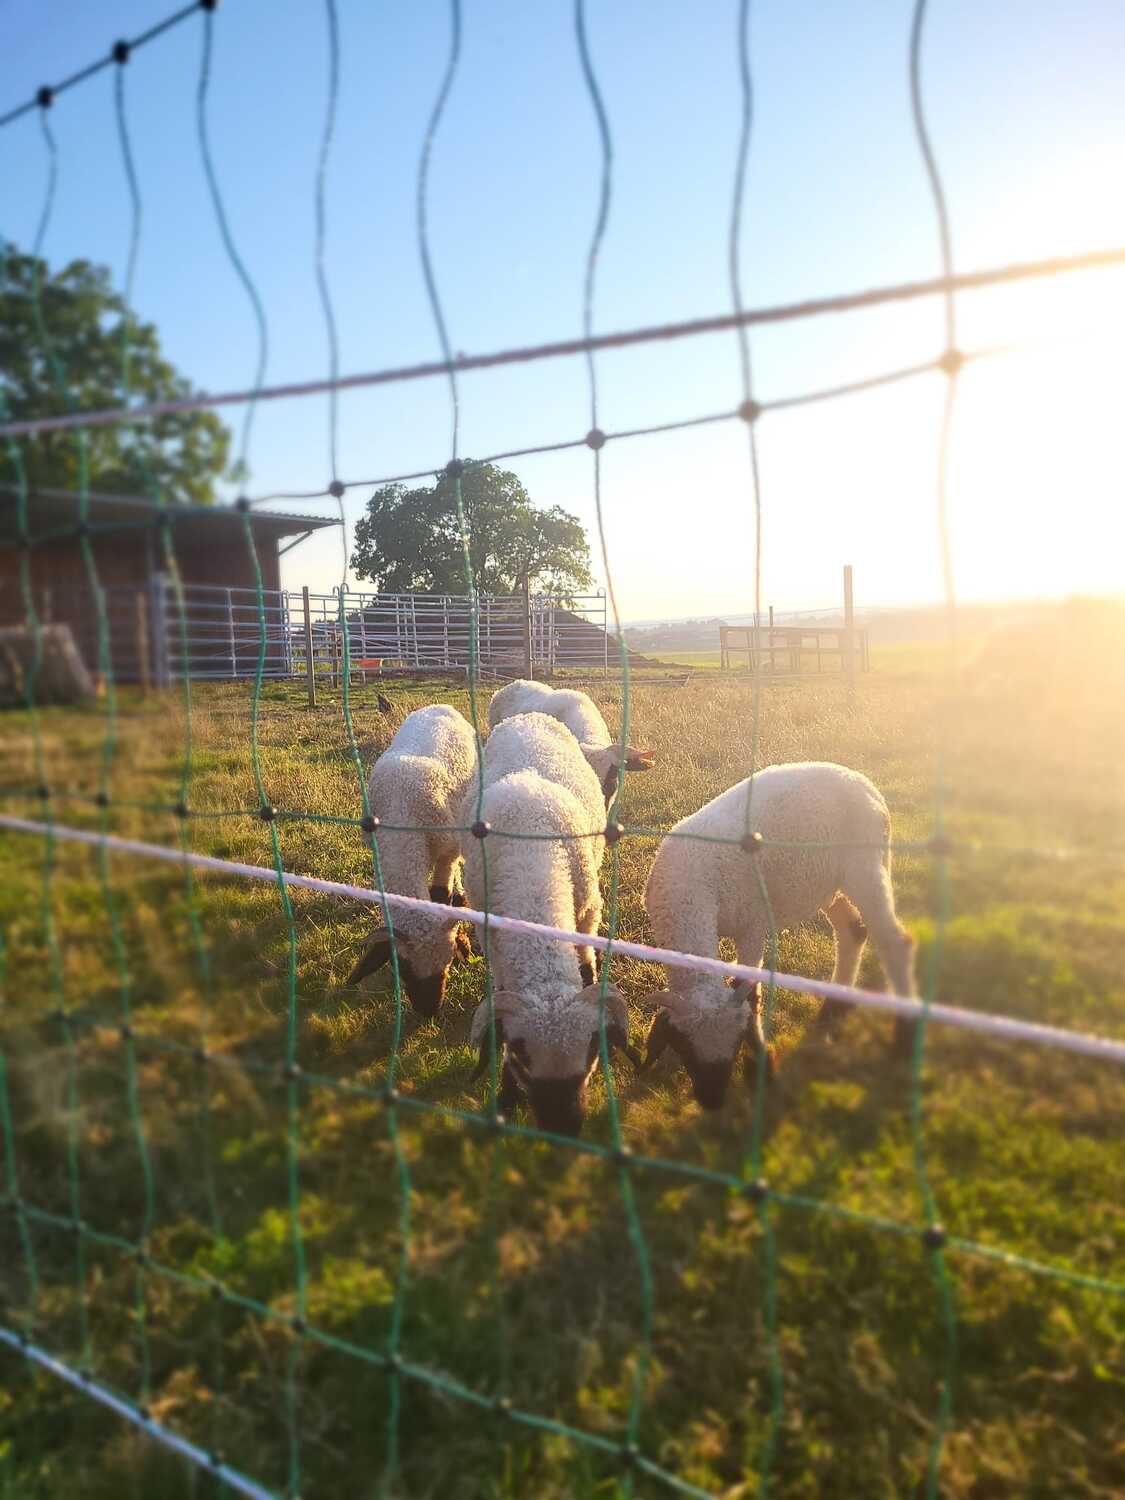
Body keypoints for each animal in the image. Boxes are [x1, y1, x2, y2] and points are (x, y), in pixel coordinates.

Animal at [348, 702, 480, 1020]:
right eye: (402, 969)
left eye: (448, 963)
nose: (428, 1012)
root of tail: (441, 705)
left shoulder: (445, 851)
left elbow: (440, 893)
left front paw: (454, 901)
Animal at [462, 714, 639, 1134]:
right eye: (520, 1057)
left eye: (591, 1053)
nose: (564, 1129)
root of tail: (529, 717)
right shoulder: (490, 936)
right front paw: (506, 1097)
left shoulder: (588, 911)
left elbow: (587, 963)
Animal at [642, 768, 918, 1110]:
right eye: (684, 1046)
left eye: (736, 1043)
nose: (712, 1101)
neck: (686, 894)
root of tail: (863, 782)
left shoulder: (751, 926)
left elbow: (750, 991)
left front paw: (760, 1067)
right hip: (828, 883)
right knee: (853, 931)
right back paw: (833, 1007)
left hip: (867, 865)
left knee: (895, 942)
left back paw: (905, 1034)